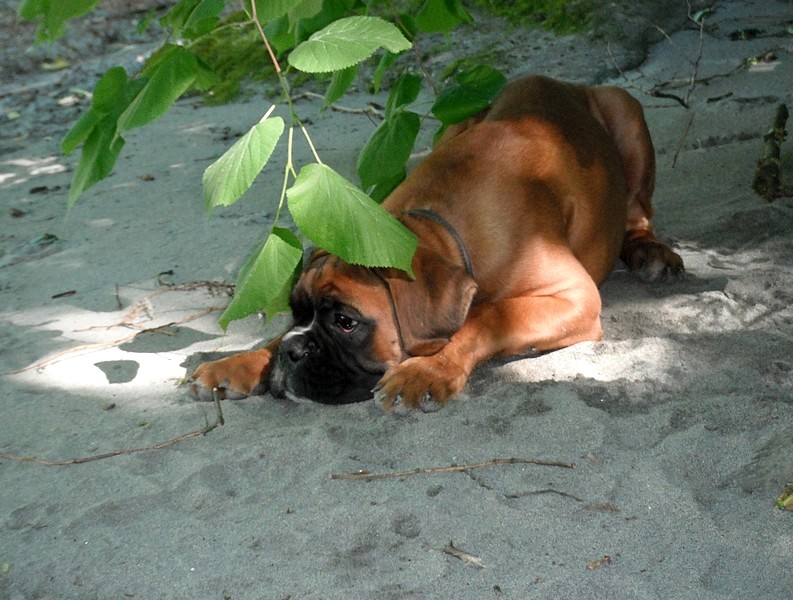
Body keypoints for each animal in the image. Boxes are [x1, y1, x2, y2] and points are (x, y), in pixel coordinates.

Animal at [187, 75, 684, 413]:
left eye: (347, 322)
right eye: (297, 311)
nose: (293, 353)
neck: (434, 227)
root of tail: (565, 83)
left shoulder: (575, 297)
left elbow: (487, 316)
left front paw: (428, 369)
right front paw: (242, 362)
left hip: (626, 112)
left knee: (639, 210)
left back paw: (649, 252)